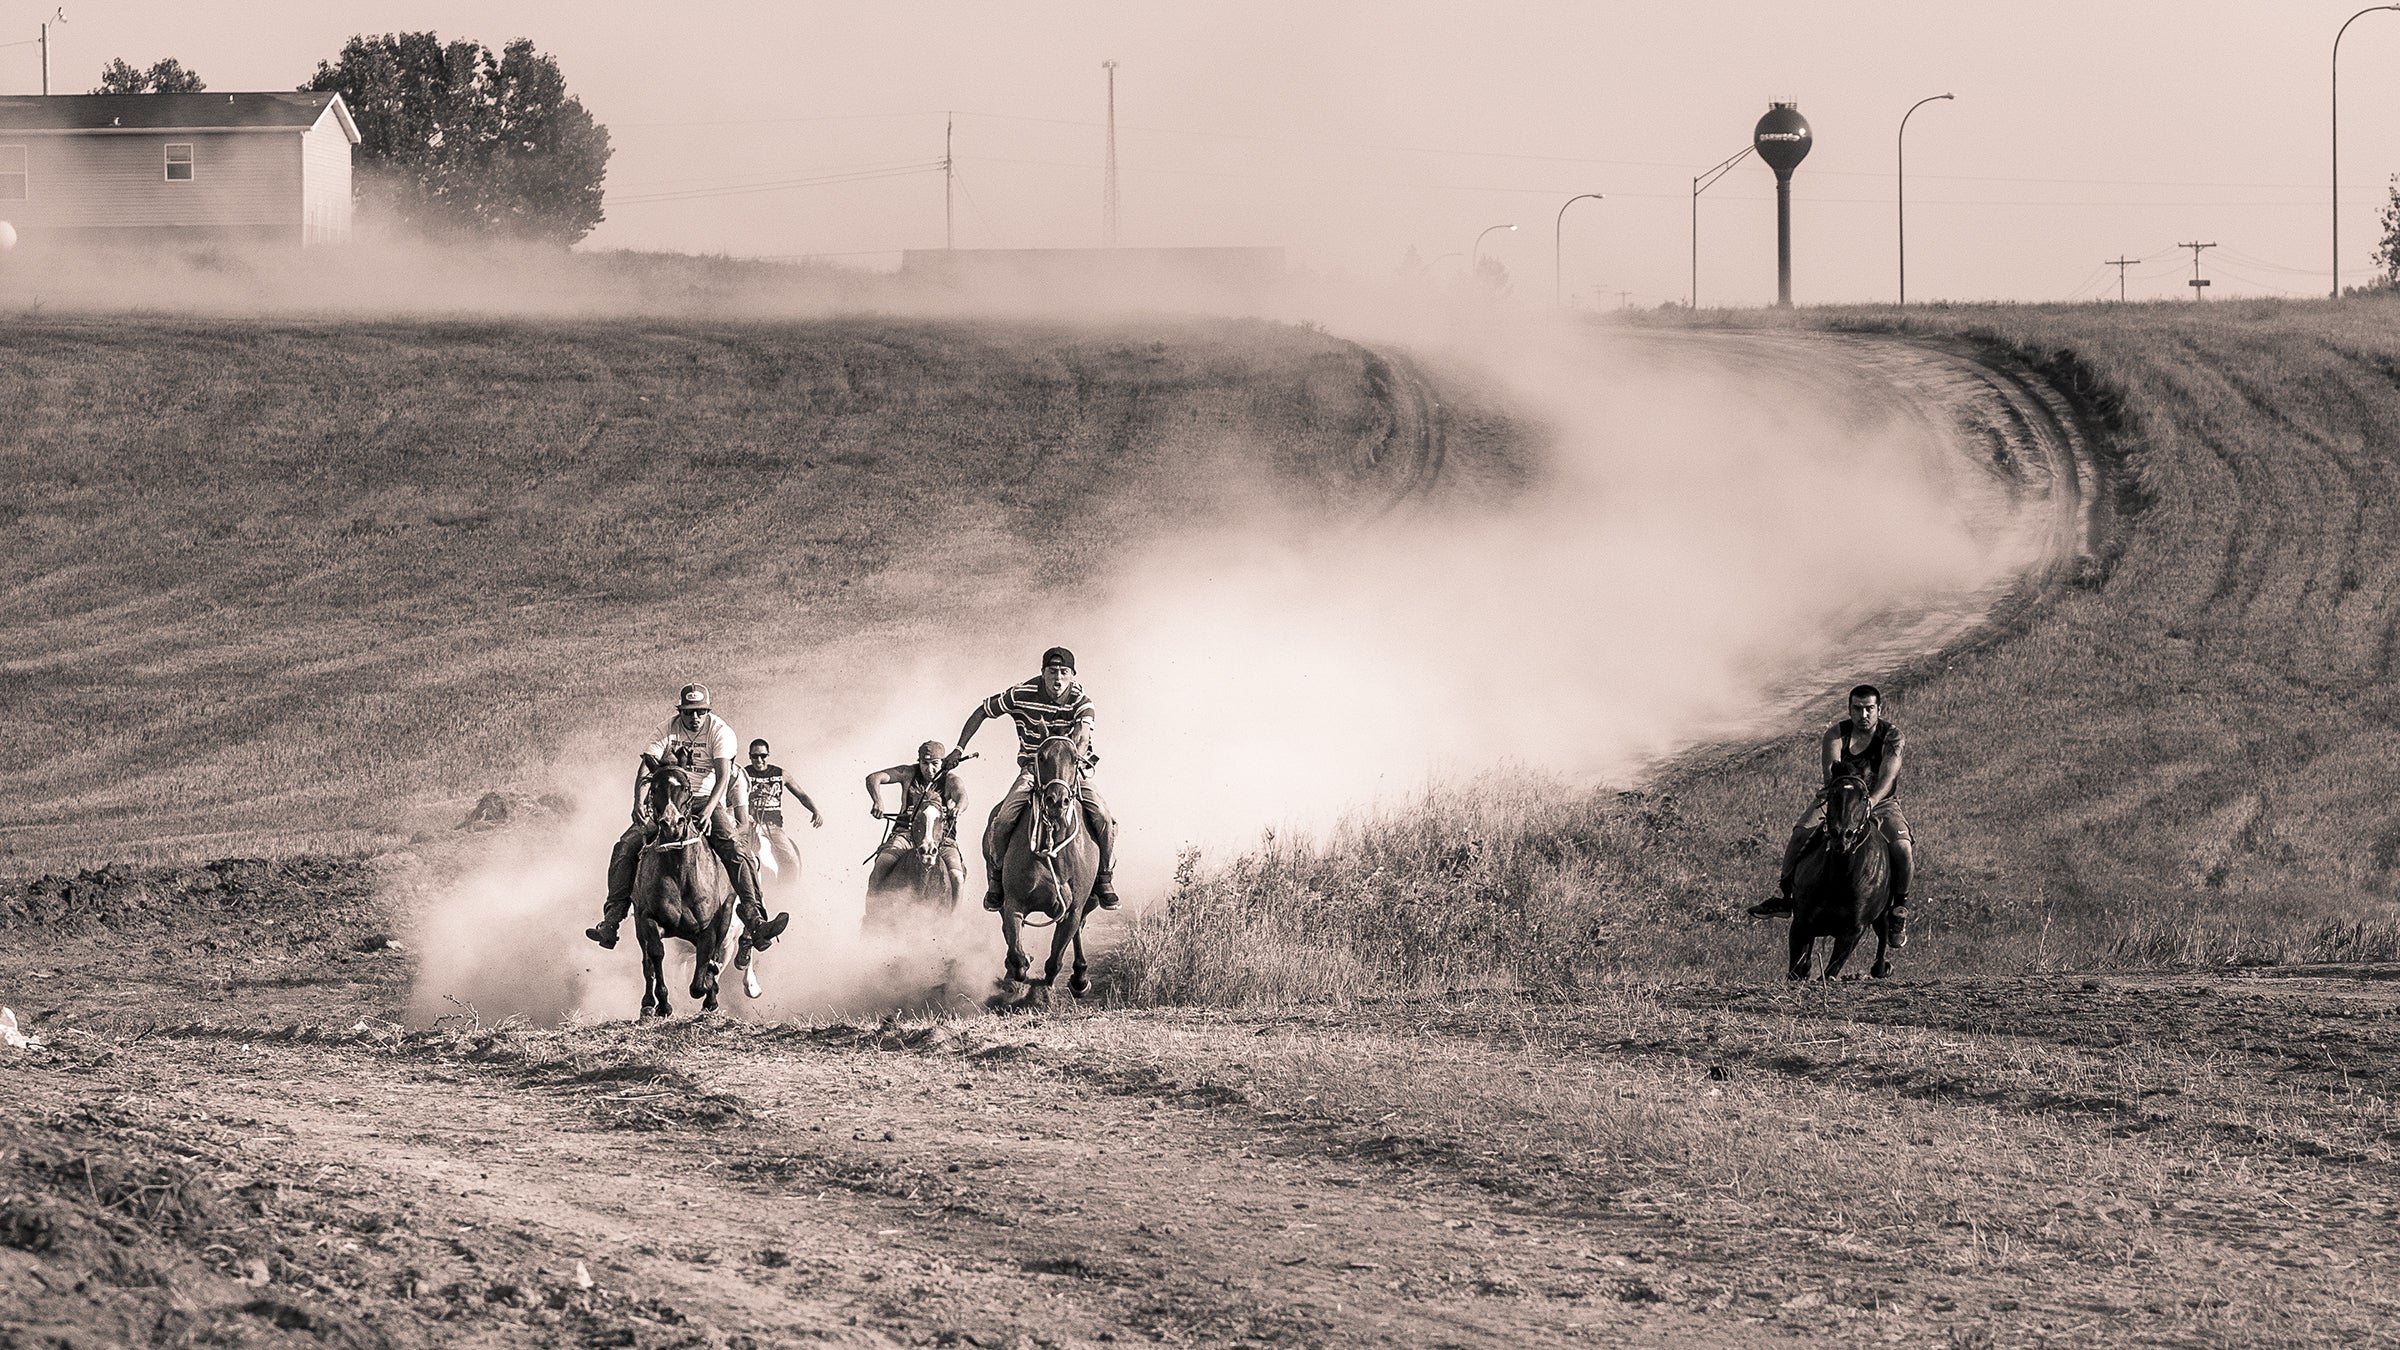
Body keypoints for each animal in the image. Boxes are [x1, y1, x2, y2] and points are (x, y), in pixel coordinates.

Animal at [633, 763, 763, 1013]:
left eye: (685, 787)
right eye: (654, 788)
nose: (671, 824)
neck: (680, 874)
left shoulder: (710, 928)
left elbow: (701, 978)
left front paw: (709, 994)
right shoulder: (648, 918)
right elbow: (656, 953)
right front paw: (663, 1003)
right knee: (647, 962)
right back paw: (647, 1004)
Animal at [998, 730, 1099, 1004]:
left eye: (1075, 759)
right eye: (1041, 757)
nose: (1056, 802)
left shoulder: (1072, 911)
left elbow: (1055, 960)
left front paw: (1045, 989)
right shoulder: (1013, 904)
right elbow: (1016, 952)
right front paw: (1018, 972)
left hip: (1089, 903)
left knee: (1079, 932)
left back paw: (1080, 978)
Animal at [1785, 768, 1891, 975]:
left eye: (1864, 797)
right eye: (1833, 794)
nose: (1841, 835)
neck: (1840, 877)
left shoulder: (1852, 931)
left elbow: (1831, 971)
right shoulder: (1802, 922)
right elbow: (1796, 969)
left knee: (1884, 934)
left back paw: (1881, 968)